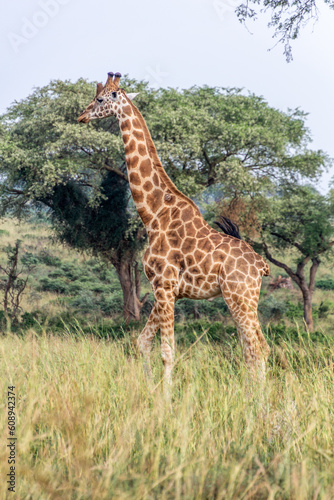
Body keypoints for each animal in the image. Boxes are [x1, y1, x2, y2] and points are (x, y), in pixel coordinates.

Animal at [79, 71, 272, 390]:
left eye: (100, 99)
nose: (81, 115)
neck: (153, 214)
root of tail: (261, 265)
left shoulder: (164, 285)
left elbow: (167, 352)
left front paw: (166, 398)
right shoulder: (166, 290)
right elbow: (142, 342)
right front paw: (150, 390)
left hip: (240, 296)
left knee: (256, 348)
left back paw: (257, 399)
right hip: (242, 298)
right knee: (254, 347)